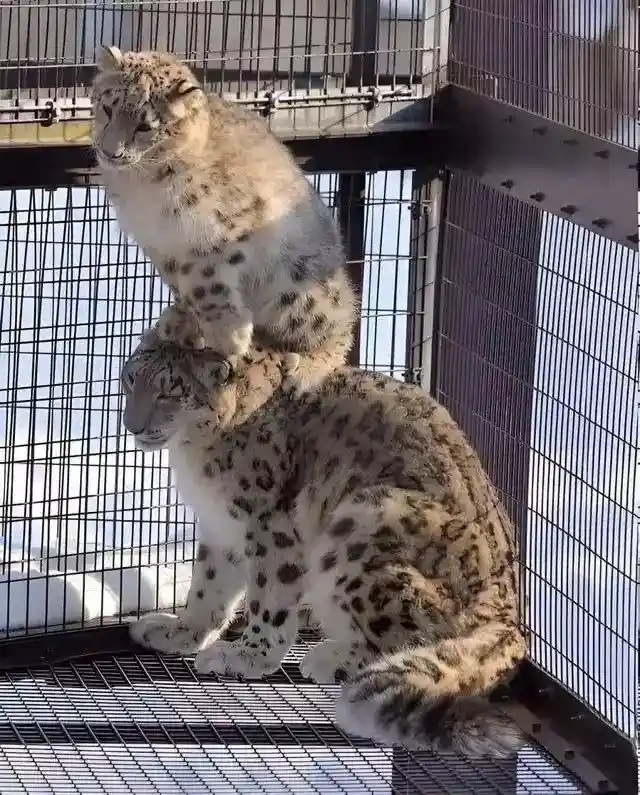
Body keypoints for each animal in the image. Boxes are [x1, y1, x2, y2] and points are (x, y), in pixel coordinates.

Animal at [92, 45, 356, 383]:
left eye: (145, 126)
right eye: (107, 107)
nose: (110, 152)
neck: (142, 187)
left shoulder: (218, 232)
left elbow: (204, 282)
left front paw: (228, 335)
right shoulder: (160, 244)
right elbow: (181, 287)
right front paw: (182, 325)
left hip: (298, 289)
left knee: (337, 324)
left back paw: (308, 367)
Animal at [121, 325, 527, 758]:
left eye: (170, 392)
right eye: (131, 378)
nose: (132, 426)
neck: (194, 458)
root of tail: (510, 618)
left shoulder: (268, 523)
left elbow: (269, 595)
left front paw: (247, 655)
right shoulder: (220, 527)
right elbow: (208, 585)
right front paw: (181, 631)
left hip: (366, 520)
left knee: (409, 637)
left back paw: (330, 658)